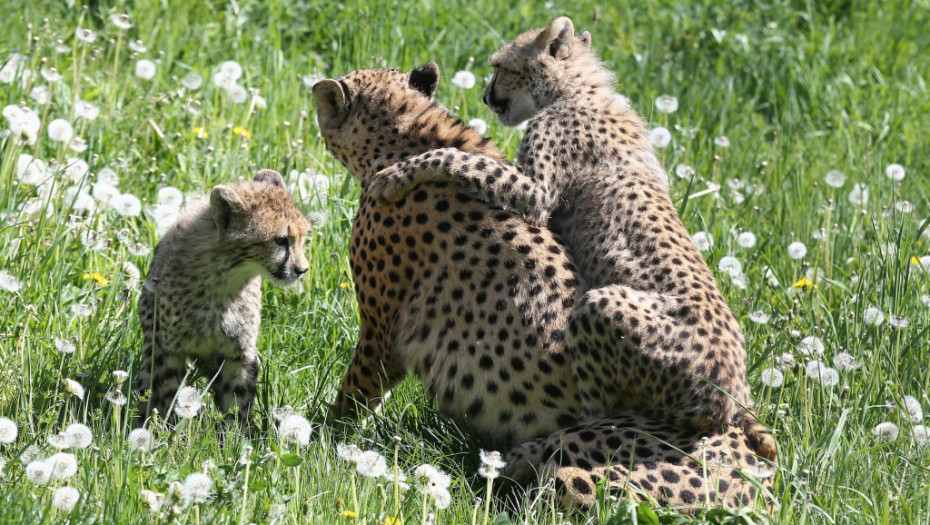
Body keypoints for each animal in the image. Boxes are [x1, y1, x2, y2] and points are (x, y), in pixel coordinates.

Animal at [137, 171, 312, 426]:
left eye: (301, 238)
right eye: (280, 240)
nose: (302, 270)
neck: (224, 279)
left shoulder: (238, 353)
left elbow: (237, 401)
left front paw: (236, 434)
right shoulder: (169, 350)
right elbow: (167, 396)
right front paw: (167, 430)